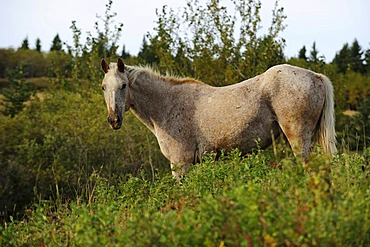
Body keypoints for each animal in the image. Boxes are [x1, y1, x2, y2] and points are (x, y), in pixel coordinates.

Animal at [99, 57, 336, 179]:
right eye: (103, 87)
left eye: (124, 85)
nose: (114, 120)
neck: (167, 104)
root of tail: (316, 77)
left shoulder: (180, 164)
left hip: (298, 138)